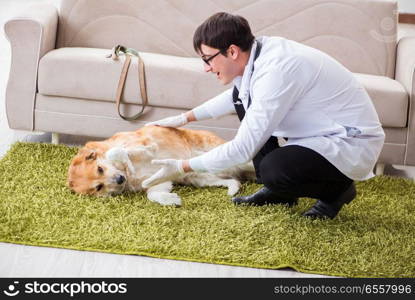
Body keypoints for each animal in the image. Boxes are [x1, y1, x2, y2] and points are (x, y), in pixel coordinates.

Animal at [67, 125, 256, 205]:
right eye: (98, 187)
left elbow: (118, 151)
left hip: (228, 153)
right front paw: (170, 200)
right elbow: (153, 193)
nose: (120, 179)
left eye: (100, 169)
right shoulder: (160, 181)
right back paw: (233, 189)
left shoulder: (148, 145)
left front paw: (123, 158)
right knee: (234, 180)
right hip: (199, 178)